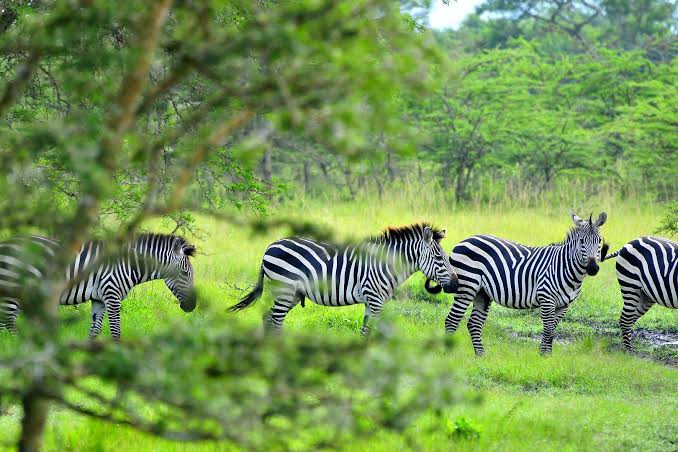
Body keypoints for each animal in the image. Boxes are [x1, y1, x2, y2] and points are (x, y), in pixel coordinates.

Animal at [0, 233, 197, 340]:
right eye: (184, 273)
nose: (192, 307)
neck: (128, 264)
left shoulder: (99, 300)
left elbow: (94, 330)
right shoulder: (112, 295)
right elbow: (116, 331)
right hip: (12, 289)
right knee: (7, 322)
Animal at [228, 223, 458, 335]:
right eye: (439, 258)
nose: (456, 284)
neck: (385, 264)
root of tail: (270, 246)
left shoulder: (371, 301)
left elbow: (366, 330)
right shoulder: (375, 300)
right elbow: (373, 331)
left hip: (290, 294)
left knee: (268, 317)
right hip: (285, 290)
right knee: (275, 320)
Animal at [428, 212, 607, 355]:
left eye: (599, 241)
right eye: (582, 241)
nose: (593, 268)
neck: (565, 267)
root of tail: (465, 240)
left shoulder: (564, 306)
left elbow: (552, 331)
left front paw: (546, 356)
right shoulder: (546, 299)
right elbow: (548, 330)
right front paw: (544, 357)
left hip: (482, 293)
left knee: (474, 324)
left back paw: (481, 356)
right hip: (467, 286)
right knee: (452, 320)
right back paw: (449, 355)